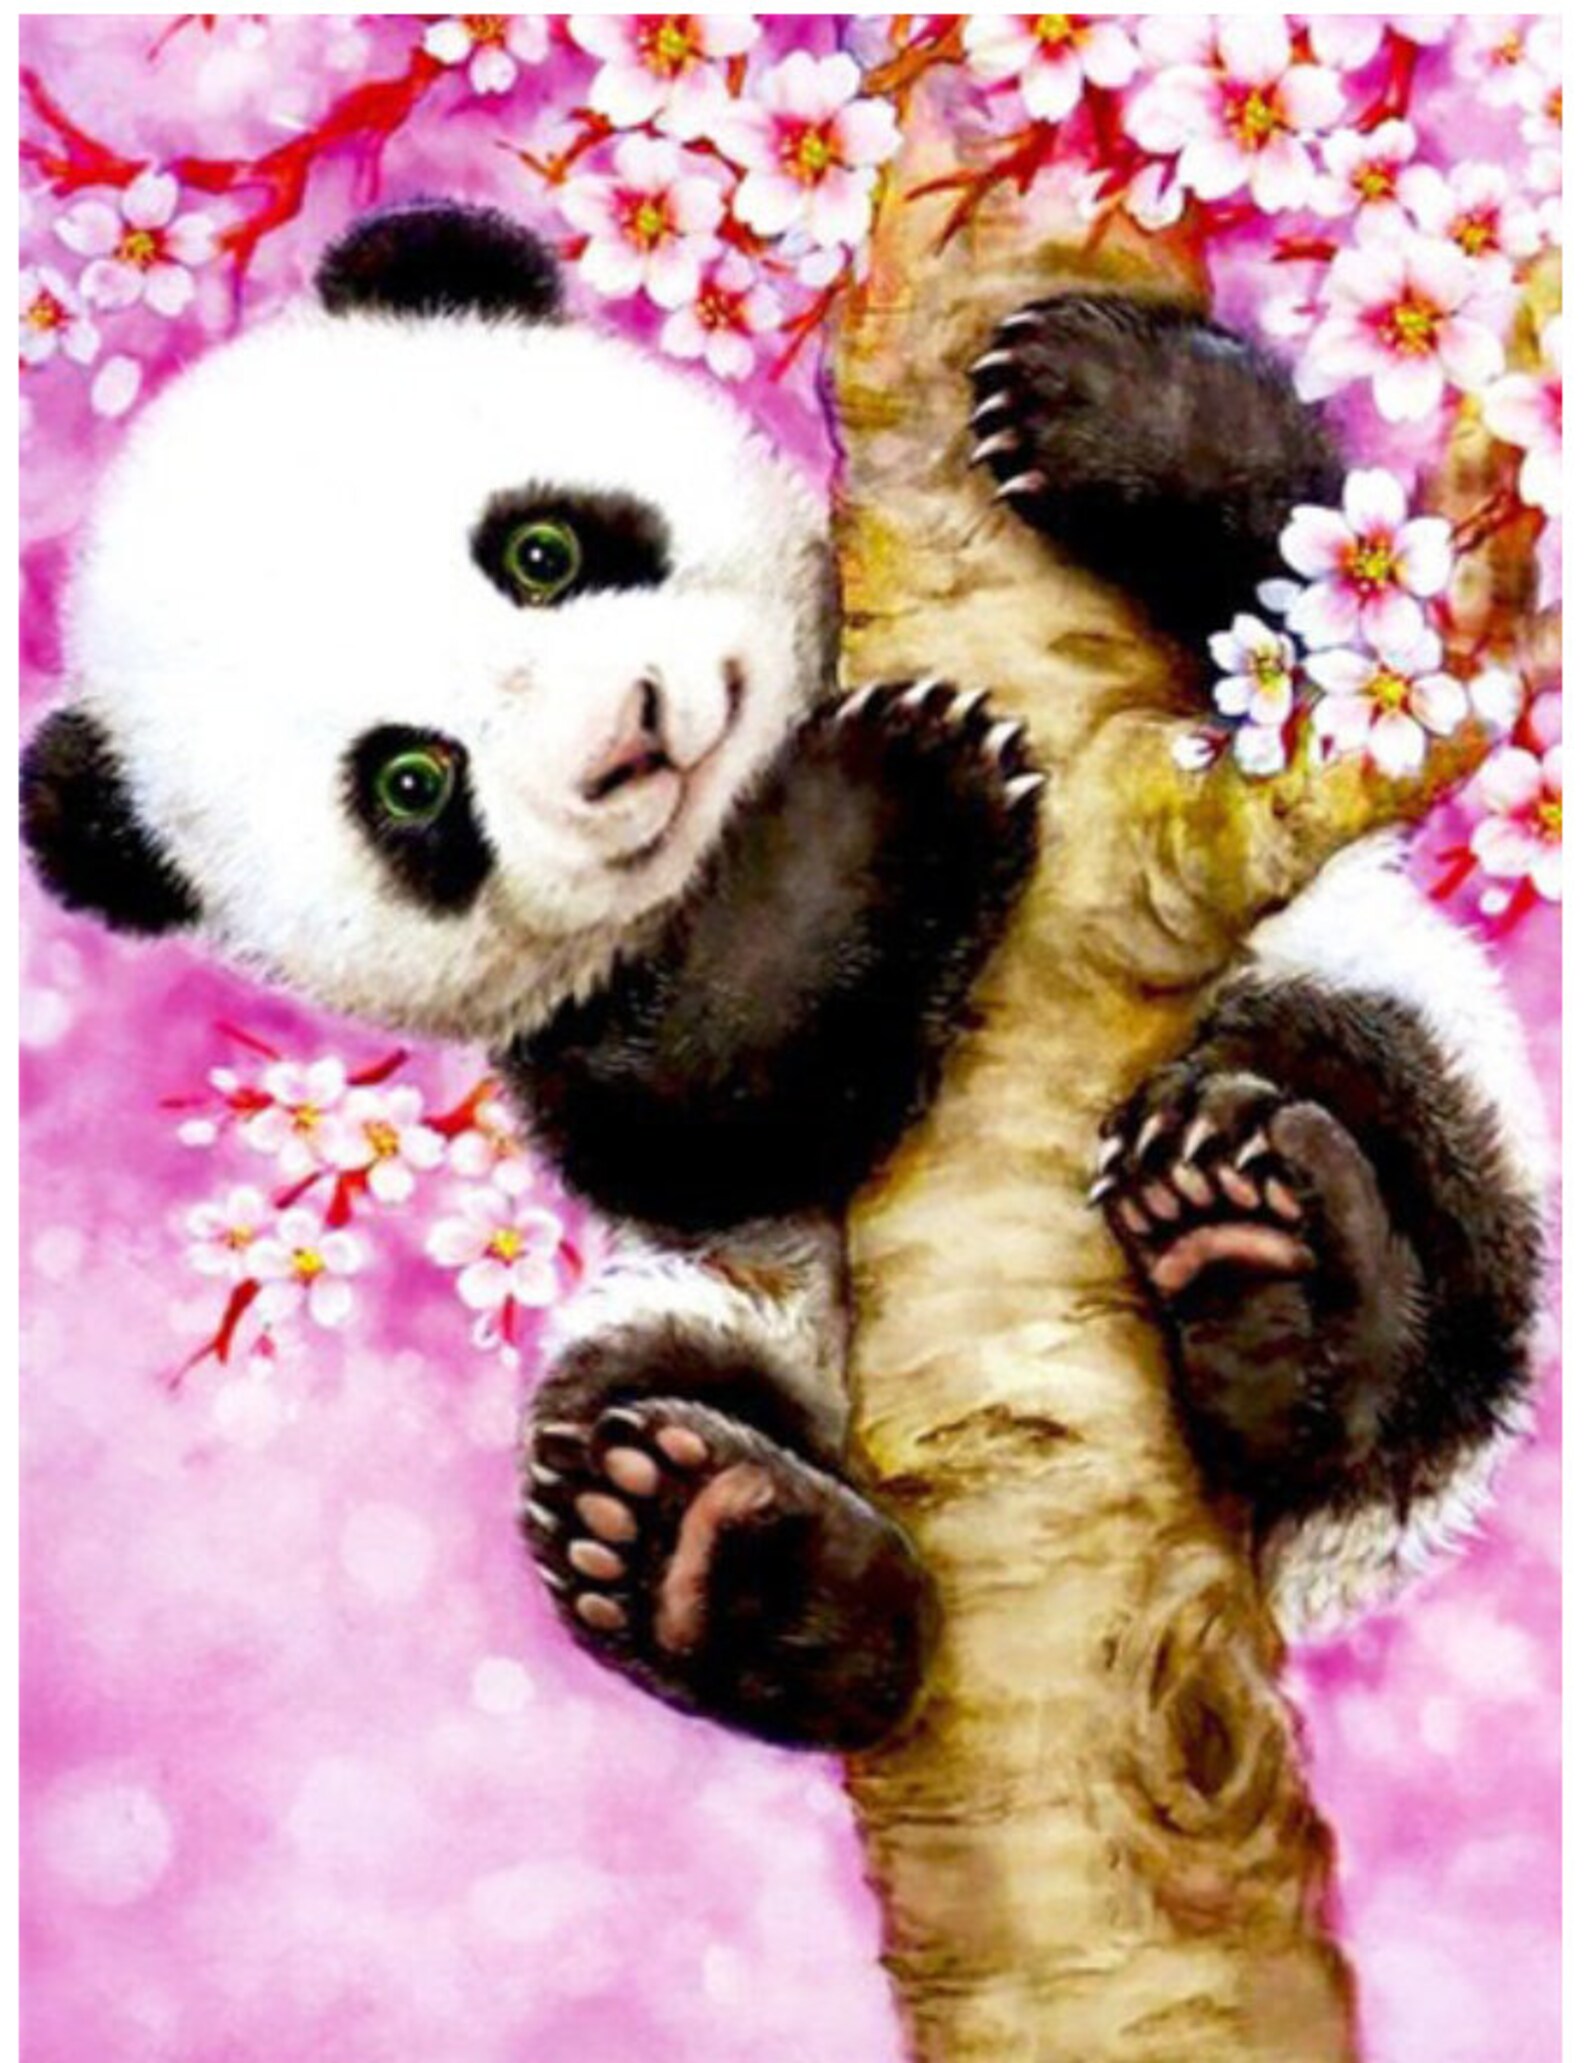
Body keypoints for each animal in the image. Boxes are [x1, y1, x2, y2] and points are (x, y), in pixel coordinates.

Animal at [22, 203, 1546, 1753]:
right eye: (411, 782)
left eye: (541, 549)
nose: (631, 736)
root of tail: (1280, 1572)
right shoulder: (569, 1030)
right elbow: (700, 1109)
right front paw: (888, 794)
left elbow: (1332, 610)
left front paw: (1094, 398)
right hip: (715, 1319)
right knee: (628, 1412)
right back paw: (728, 1559)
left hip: (1408, 1043)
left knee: (1388, 1140)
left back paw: (1271, 1270)